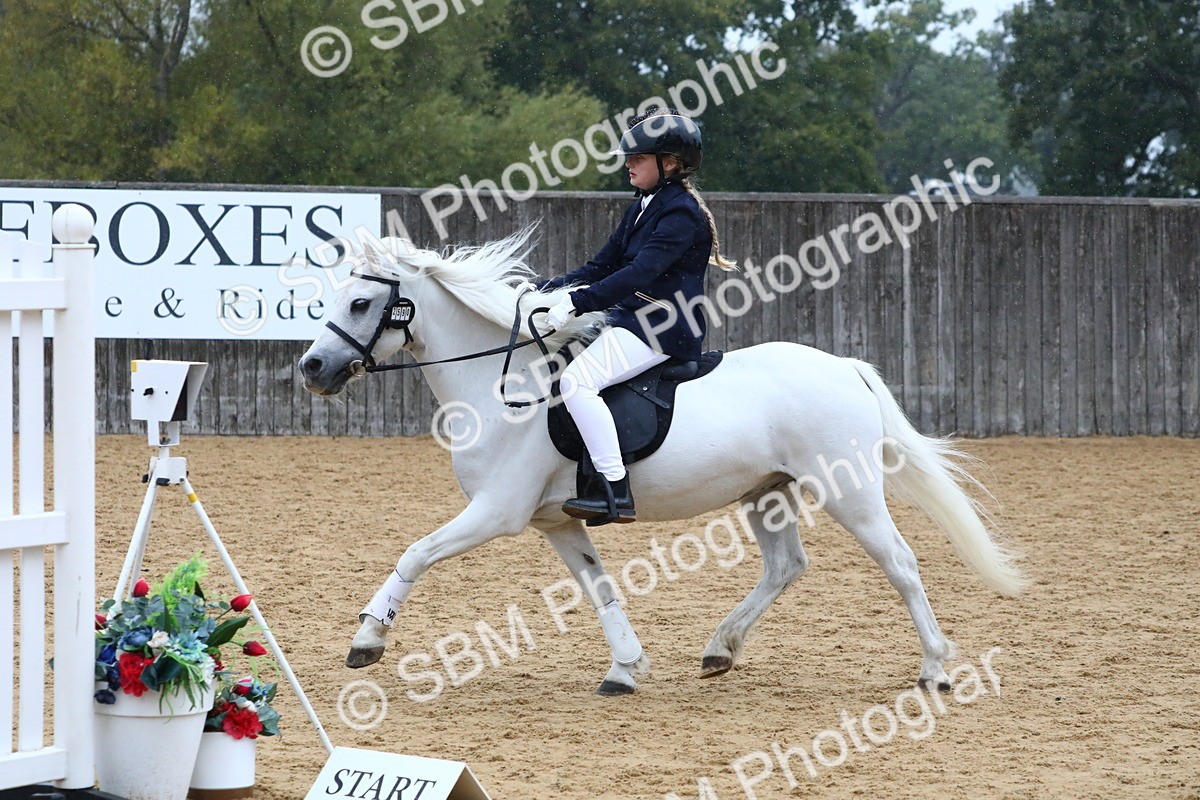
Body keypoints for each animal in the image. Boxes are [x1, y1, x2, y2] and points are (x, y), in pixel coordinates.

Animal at [298, 228, 1026, 696]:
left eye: (360, 303)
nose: (312, 369)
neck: (503, 385)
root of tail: (844, 366)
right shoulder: (556, 521)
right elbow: (598, 588)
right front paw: (625, 667)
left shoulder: (496, 513)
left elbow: (417, 552)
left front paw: (368, 640)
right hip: (767, 492)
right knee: (785, 566)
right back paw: (719, 650)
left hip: (847, 492)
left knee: (900, 564)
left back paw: (935, 669)